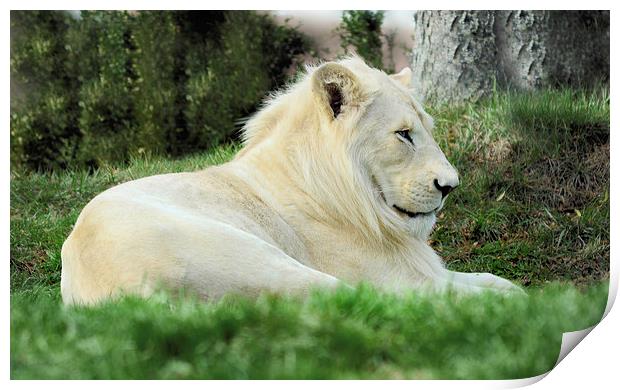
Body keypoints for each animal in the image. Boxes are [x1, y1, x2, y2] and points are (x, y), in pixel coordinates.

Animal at [59, 56, 524, 304]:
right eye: (403, 134)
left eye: (425, 128)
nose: (450, 186)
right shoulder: (401, 277)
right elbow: (464, 291)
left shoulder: (427, 270)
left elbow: (492, 279)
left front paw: (514, 291)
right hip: (253, 254)